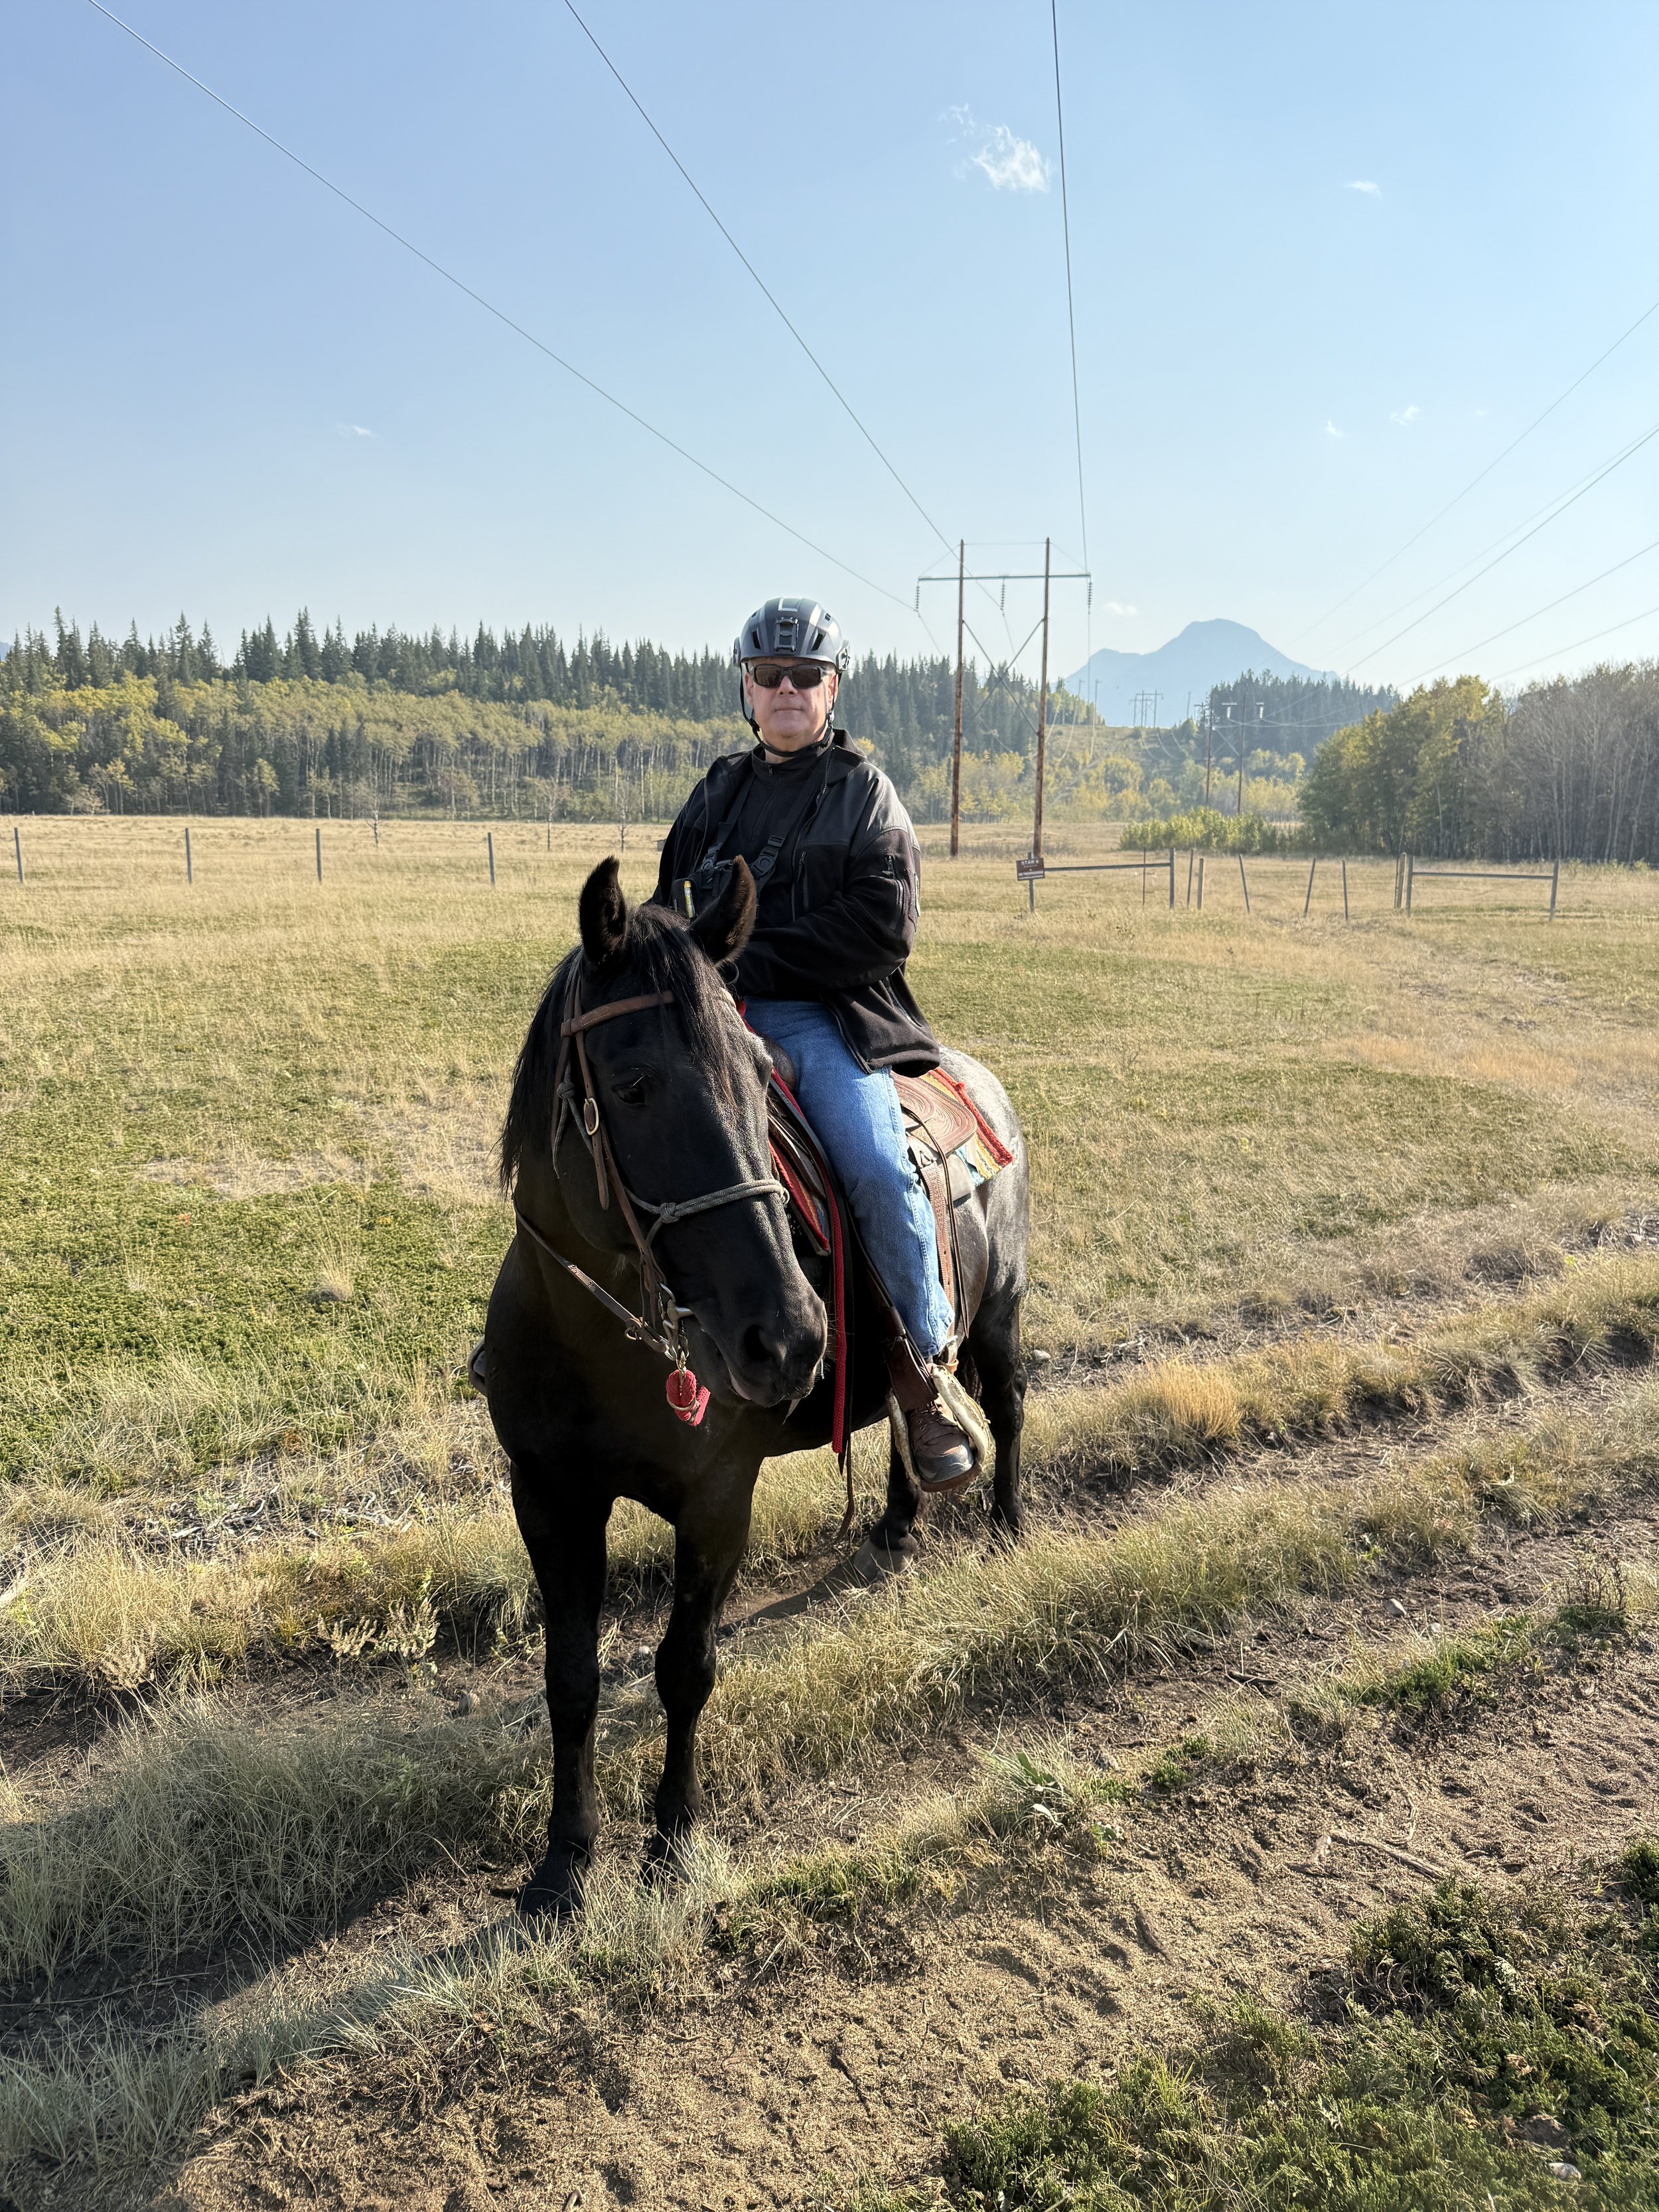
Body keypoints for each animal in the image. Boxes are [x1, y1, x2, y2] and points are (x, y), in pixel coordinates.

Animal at [483, 854, 1029, 1916]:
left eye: (759, 1075)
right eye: (633, 1083)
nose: (789, 1336)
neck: (601, 1341)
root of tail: (979, 1081)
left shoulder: (717, 1499)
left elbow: (684, 1665)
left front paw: (673, 1840)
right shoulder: (549, 1497)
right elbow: (570, 1677)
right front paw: (565, 1862)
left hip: (1002, 1310)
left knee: (1011, 1407)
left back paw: (1011, 1529)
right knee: (905, 1413)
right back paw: (896, 1523)